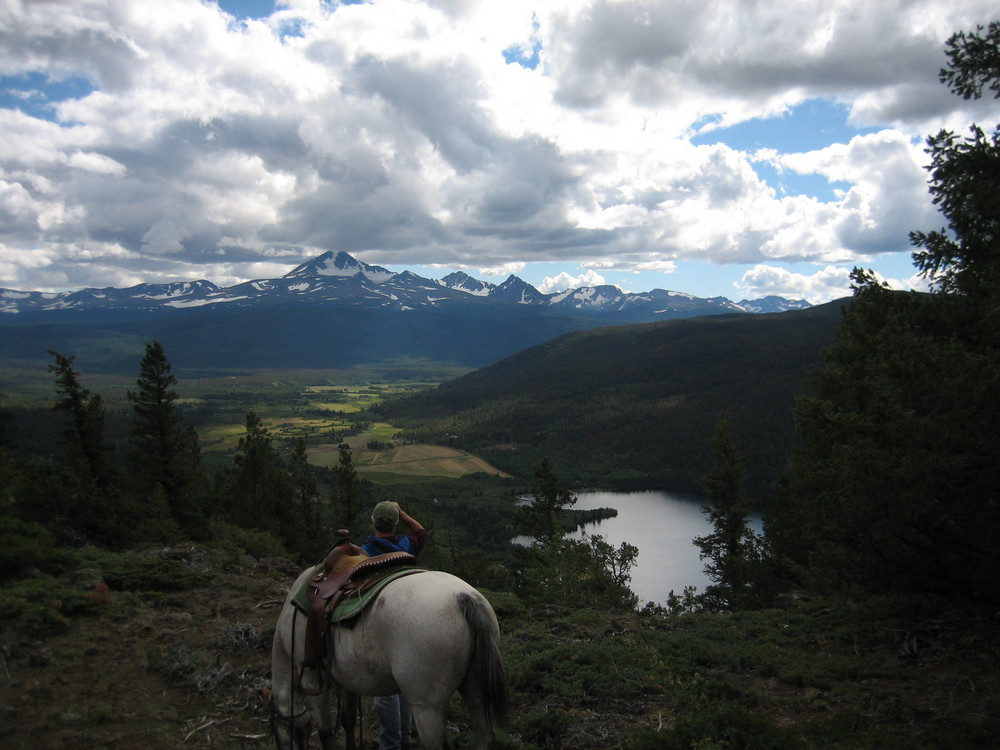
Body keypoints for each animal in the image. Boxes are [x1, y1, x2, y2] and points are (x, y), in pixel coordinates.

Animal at [270, 568, 508, 748]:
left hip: (426, 707)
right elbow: (348, 720)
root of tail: (462, 597)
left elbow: (325, 732)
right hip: (475, 691)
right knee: (484, 737)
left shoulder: (313, 679)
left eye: (277, 734)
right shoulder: (349, 681)